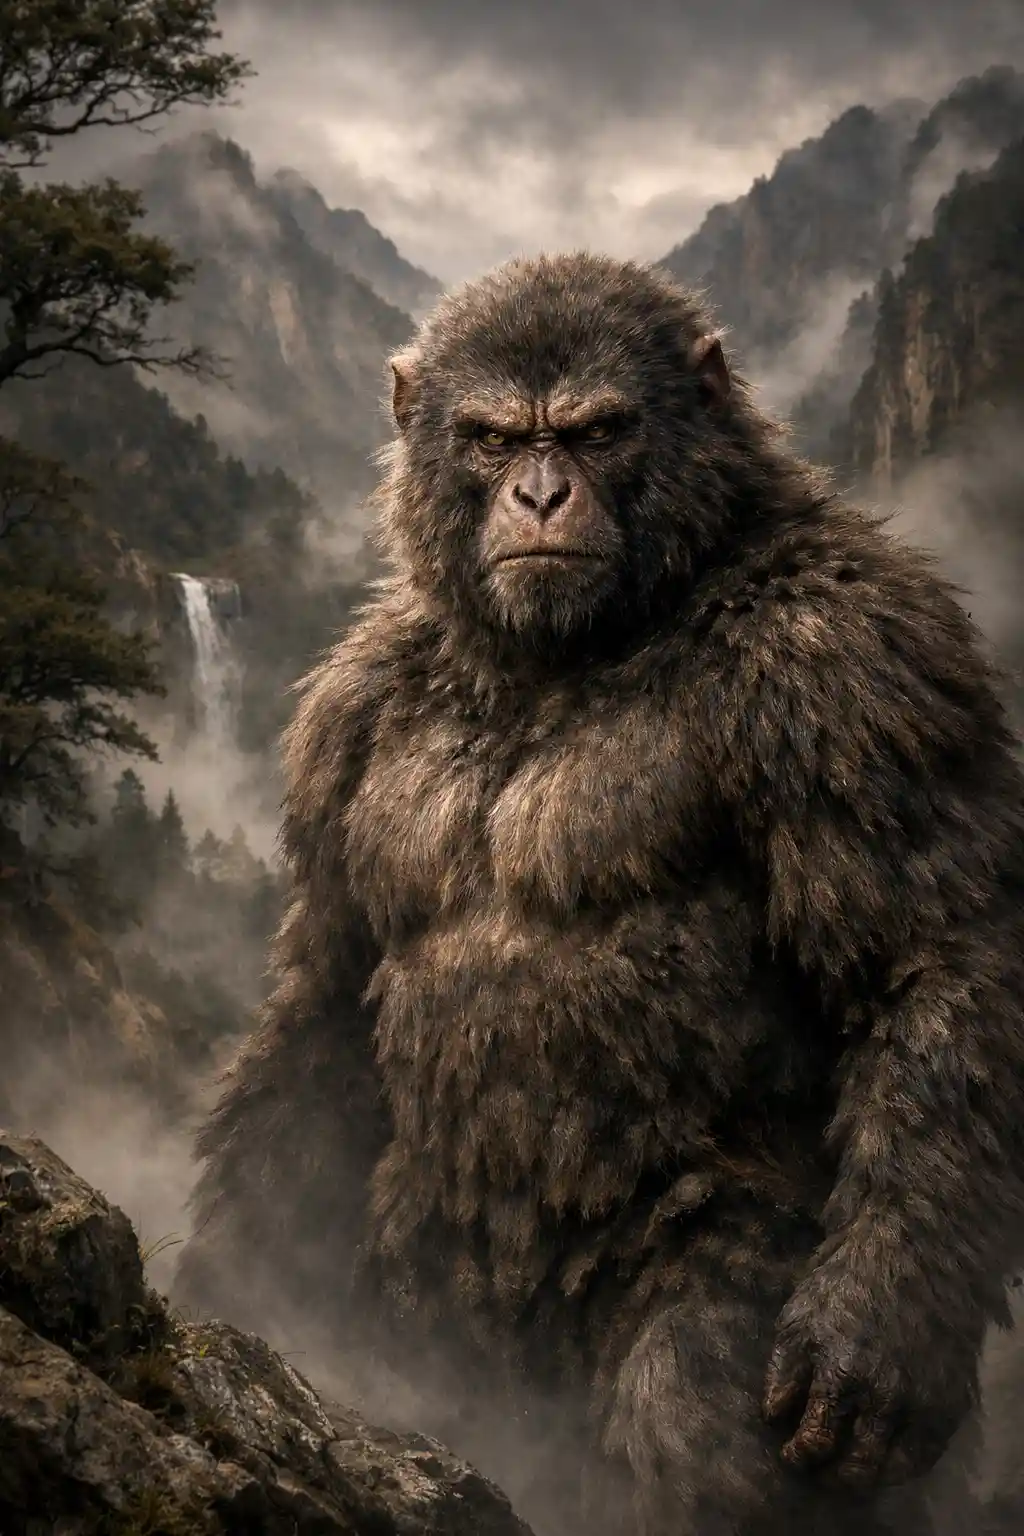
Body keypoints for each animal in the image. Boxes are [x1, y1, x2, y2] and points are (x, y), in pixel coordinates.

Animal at [175, 252, 1024, 1535]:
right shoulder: (344, 713)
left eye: (595, 430)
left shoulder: (851, 656)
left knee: (690, 1407)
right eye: (489, 437)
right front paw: (240, 1273)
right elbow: (326, 994)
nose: (536, 495)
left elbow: (926, 964)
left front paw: (878, 1322)